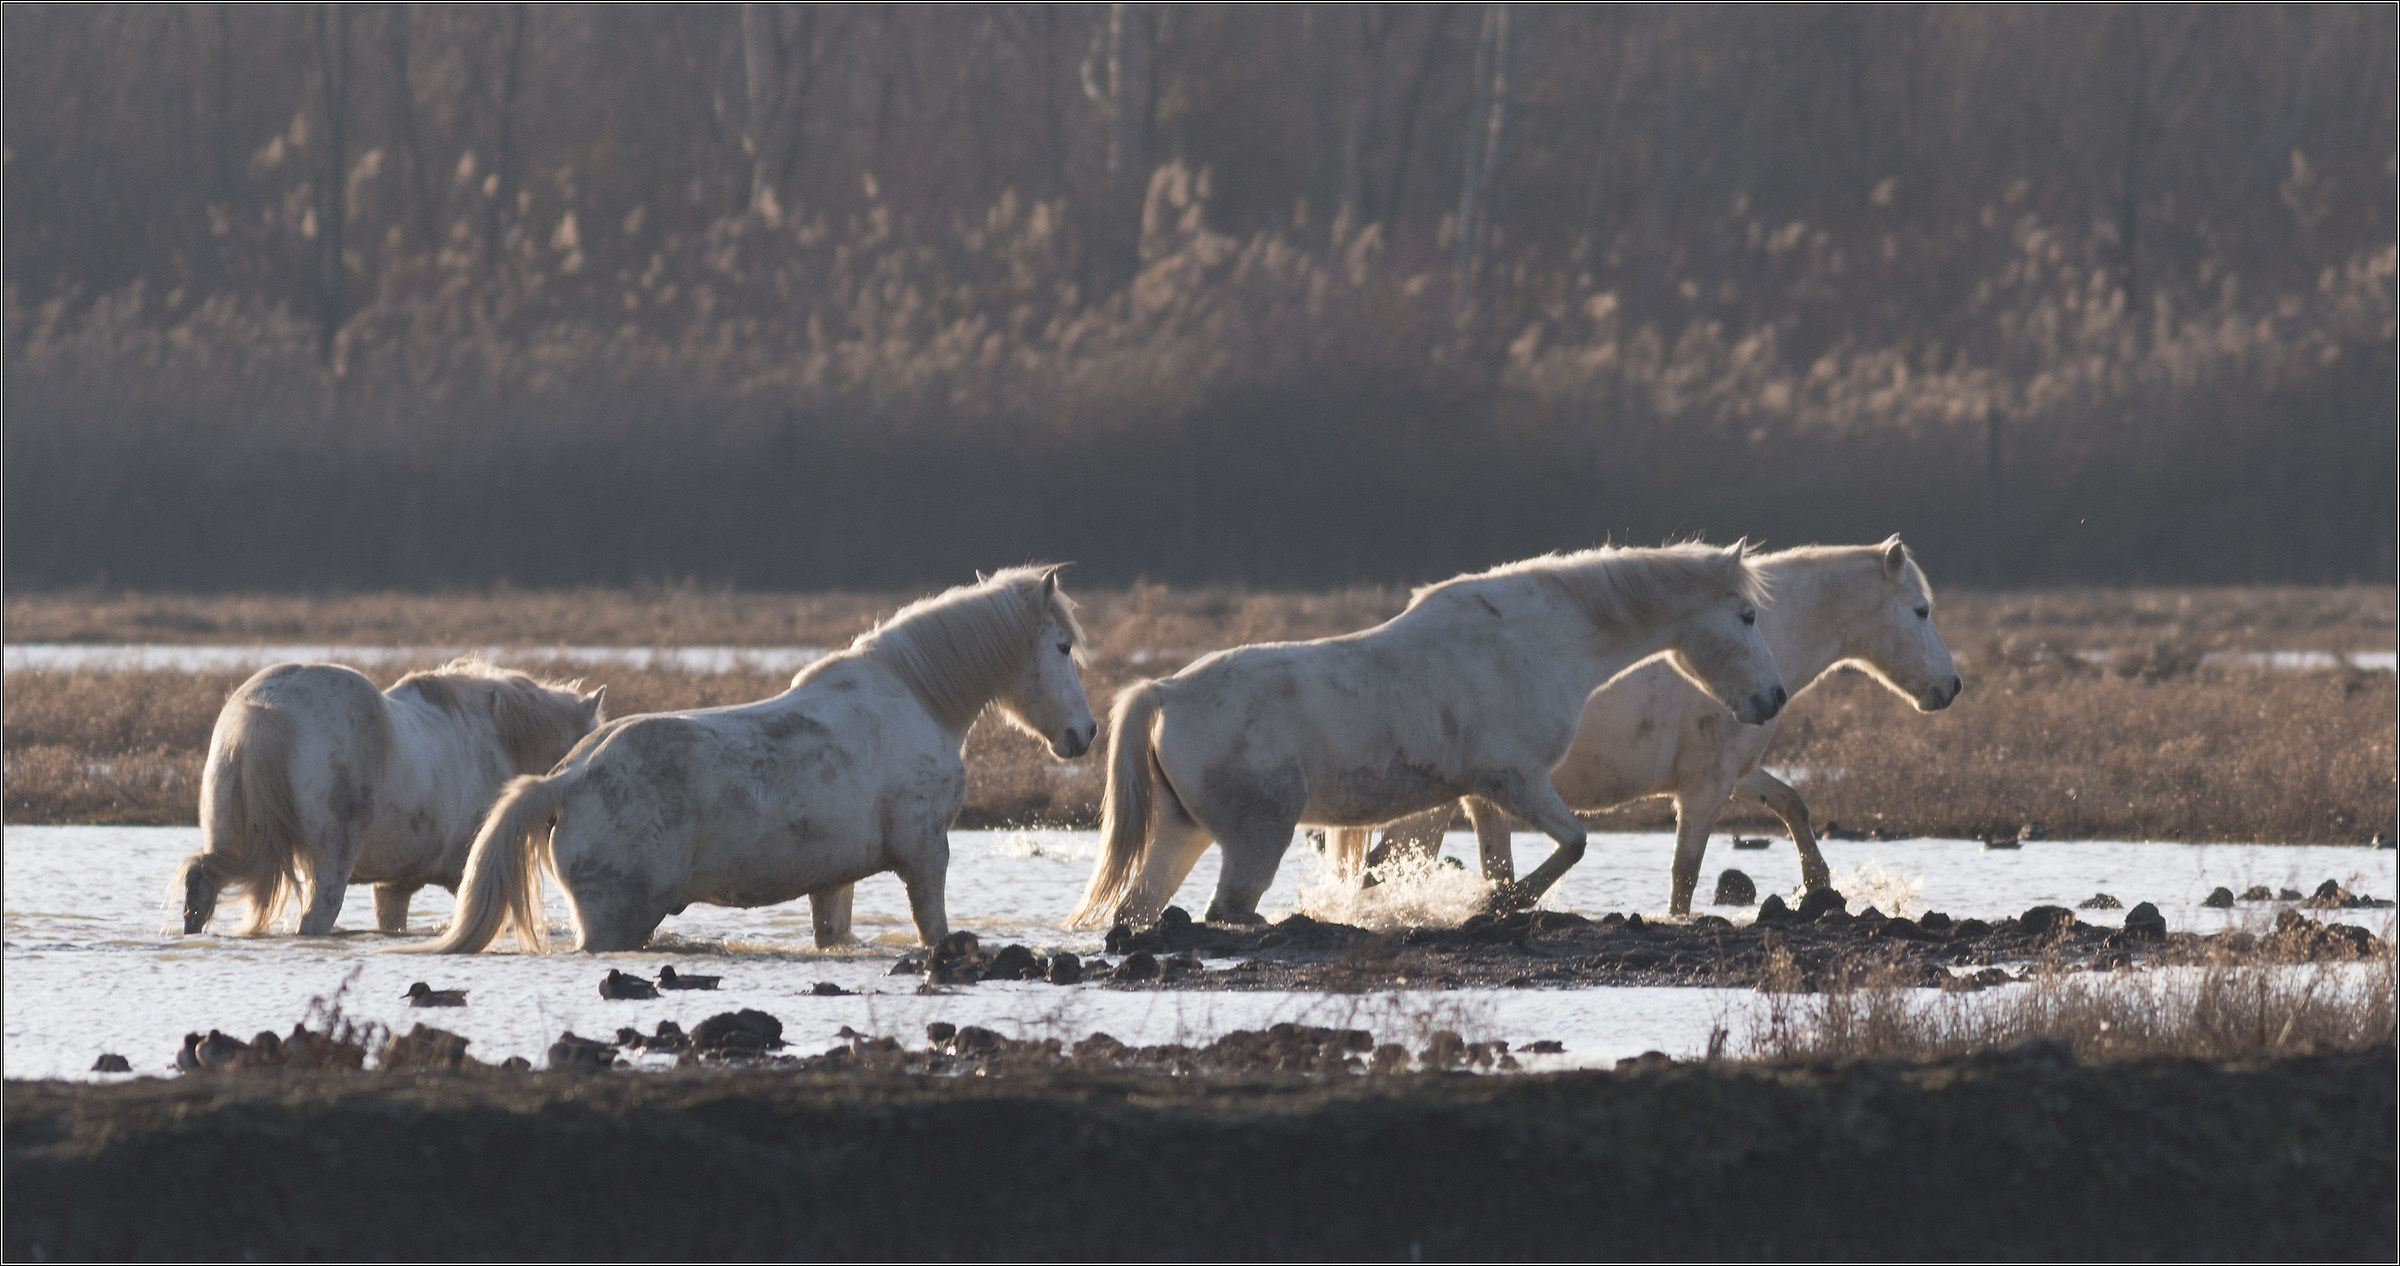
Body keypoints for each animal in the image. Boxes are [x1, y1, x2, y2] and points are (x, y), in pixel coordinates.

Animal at [173, 658, 604, 936]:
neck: (495, 739)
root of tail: (264, 710)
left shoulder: (393, 888)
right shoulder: (472, 872)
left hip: (230, 839)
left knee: (203, 881)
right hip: (329, 864)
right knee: (314, 919)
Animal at [411, 565, 1095, 955]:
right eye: (1062, 647)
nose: (1084, 733)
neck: (913, 697)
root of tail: (565, 780)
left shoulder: (834, 880)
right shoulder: (926, 856)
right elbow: (935, 930)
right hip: (613, 922)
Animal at [1067, 542, 1786, 929]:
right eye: (1747, 616)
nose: (1773, 698)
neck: (1537, 639)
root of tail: (1166, 691)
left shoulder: (1486, 793)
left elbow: (1512, 858)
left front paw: (1496, 904)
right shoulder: (1516, 778)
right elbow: (1574, 844)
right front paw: (1501, 902)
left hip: (1181, 832)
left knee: (1140, 909)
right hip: (1256, 837)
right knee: (1227, 910)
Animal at [1329, 536, 1962, 914]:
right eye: (1920, 610)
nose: (1951, 687)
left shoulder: (1737, 773)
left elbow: (1793, 805)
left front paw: (1820, 885)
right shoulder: (1706, 785)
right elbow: (1685, 873)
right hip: (1431, 809)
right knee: (1382, 868)